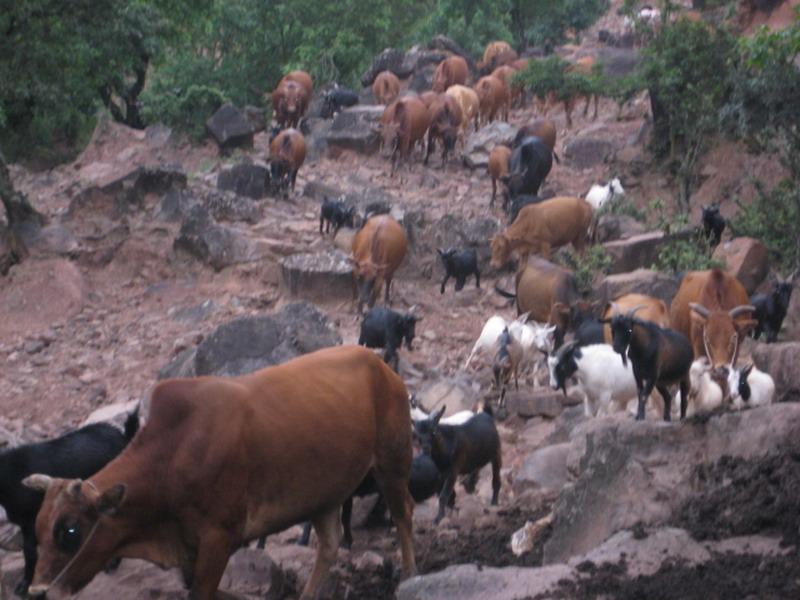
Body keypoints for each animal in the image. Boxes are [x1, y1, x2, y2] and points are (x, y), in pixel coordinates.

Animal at [22, 346, 416, 600]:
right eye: (37, 529)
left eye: (70, 530)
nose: (38, 593)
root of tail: (379, 365)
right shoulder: (189, 549)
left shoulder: (218, 537)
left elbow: (201, 592)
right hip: (325, 493)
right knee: (330, 545)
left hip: (393, 462)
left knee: (403, 515)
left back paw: (410, 577)